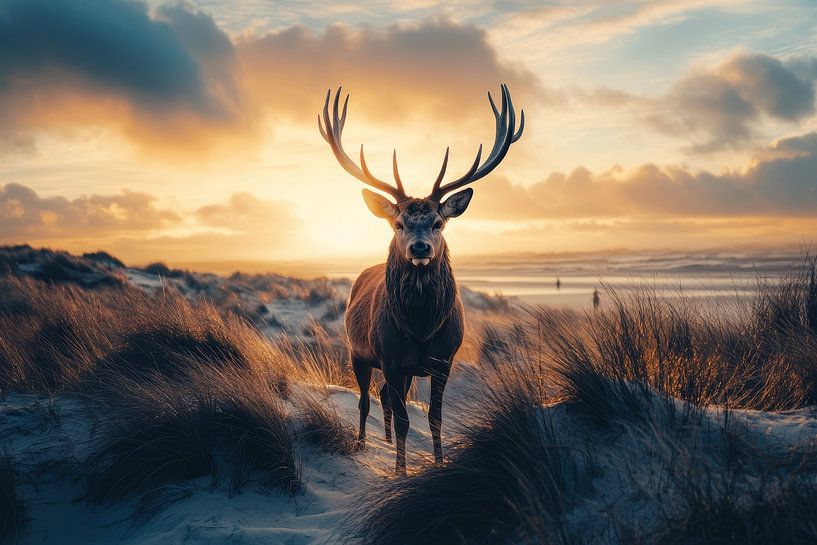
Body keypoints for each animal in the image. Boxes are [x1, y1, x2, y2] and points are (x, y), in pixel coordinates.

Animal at [318, 84, 524, 474]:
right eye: (399, 223)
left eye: (438, 223)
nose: (419, 247)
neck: (421, 327)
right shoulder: (390, 357)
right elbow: (403, 420)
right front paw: (400, 471)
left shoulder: (443, 360)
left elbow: (435, 418)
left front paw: (440, 463)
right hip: (357, 351)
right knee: (366, 400)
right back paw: (363, 443)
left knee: (384, 397)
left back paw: (383, 442)